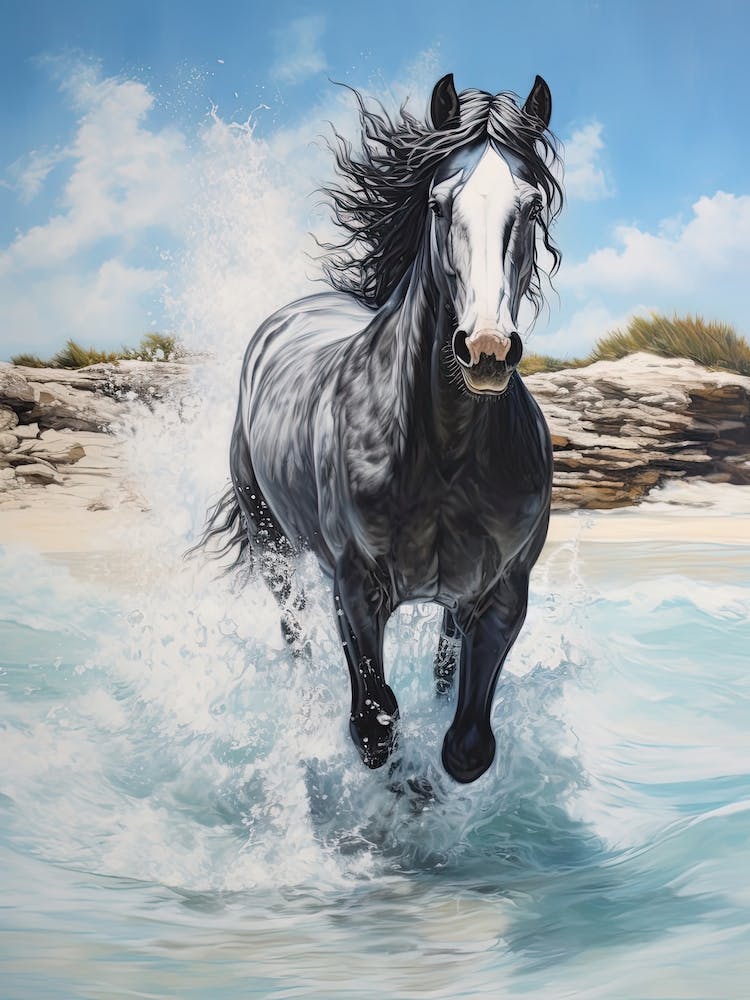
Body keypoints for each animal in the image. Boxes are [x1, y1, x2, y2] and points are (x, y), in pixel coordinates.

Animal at [203, 73, 563, 784]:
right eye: (439, 203)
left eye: (532, 205)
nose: (485, 350)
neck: (445, 452)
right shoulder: (356, 589)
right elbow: (374, 726)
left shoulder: (500, 594)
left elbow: (466, 744)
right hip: (273, 544)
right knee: (294, 635)